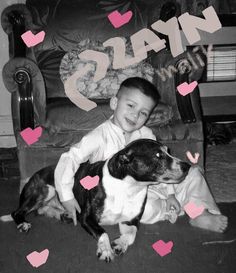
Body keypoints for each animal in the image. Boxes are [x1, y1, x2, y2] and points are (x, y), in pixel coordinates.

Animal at [0, 139, 190, 260]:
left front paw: (120, 243)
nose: (187, 165)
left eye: (168, 151)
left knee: (43, 210)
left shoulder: (130, 221)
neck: (128, 187)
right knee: (18, 211)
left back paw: (64, 215)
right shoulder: (87, 217)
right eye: (158, 155)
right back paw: (23, 223)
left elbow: (131, 235)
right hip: (44, 190)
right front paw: (105, 250)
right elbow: (103, 232)